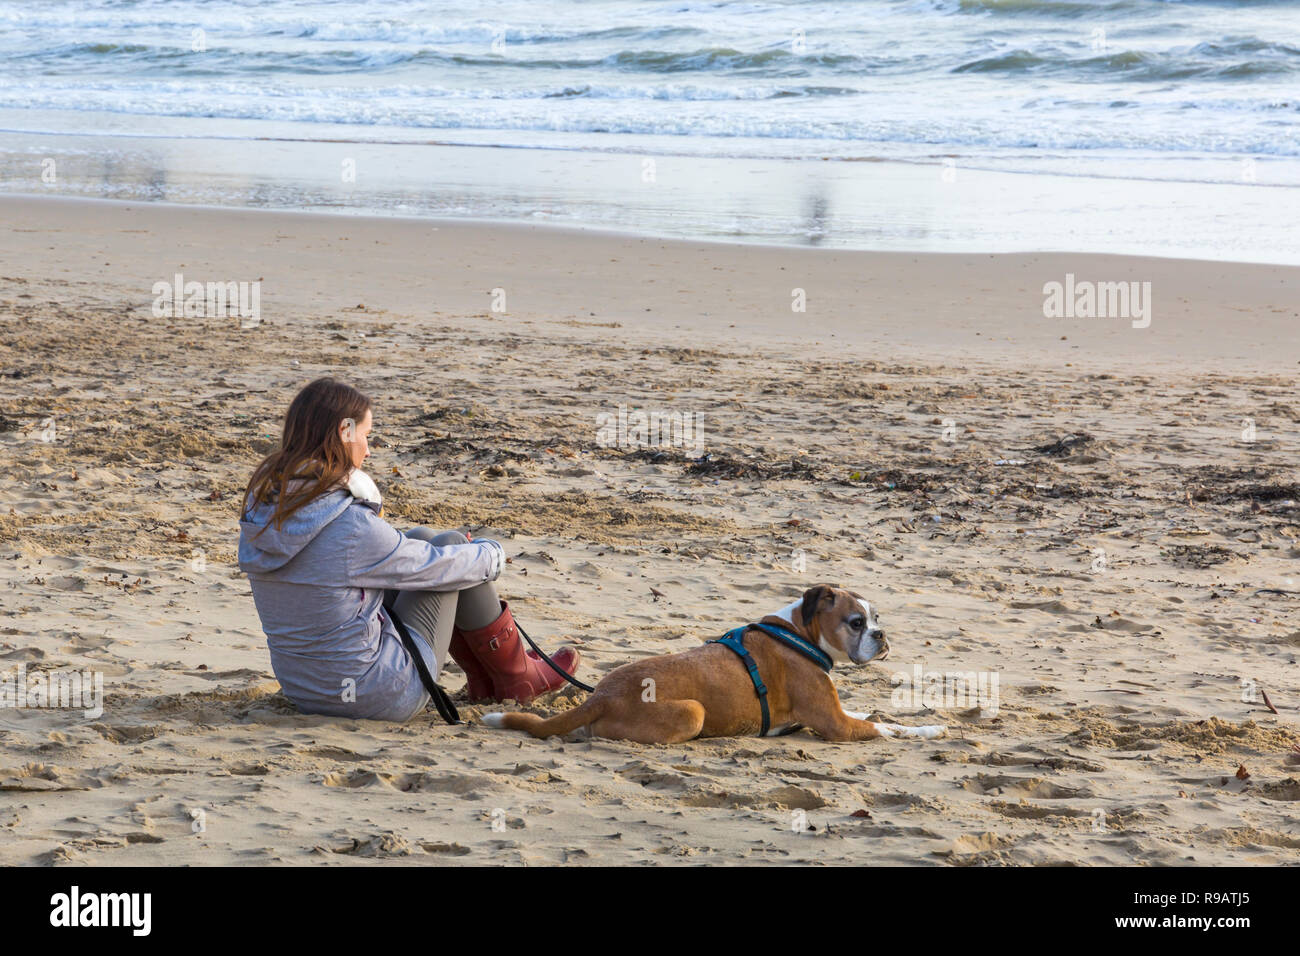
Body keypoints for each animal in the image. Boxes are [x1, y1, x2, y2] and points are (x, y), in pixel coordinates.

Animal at [478, 582, 946, 749]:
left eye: (876, 617)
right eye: (856, 622)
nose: (881, 636)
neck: (798, 633)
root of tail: (603, 695)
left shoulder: (837, 712)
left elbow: (873, 714)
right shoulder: (837, 726)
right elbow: (885, 727)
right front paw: (927, 730)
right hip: (693, 712)